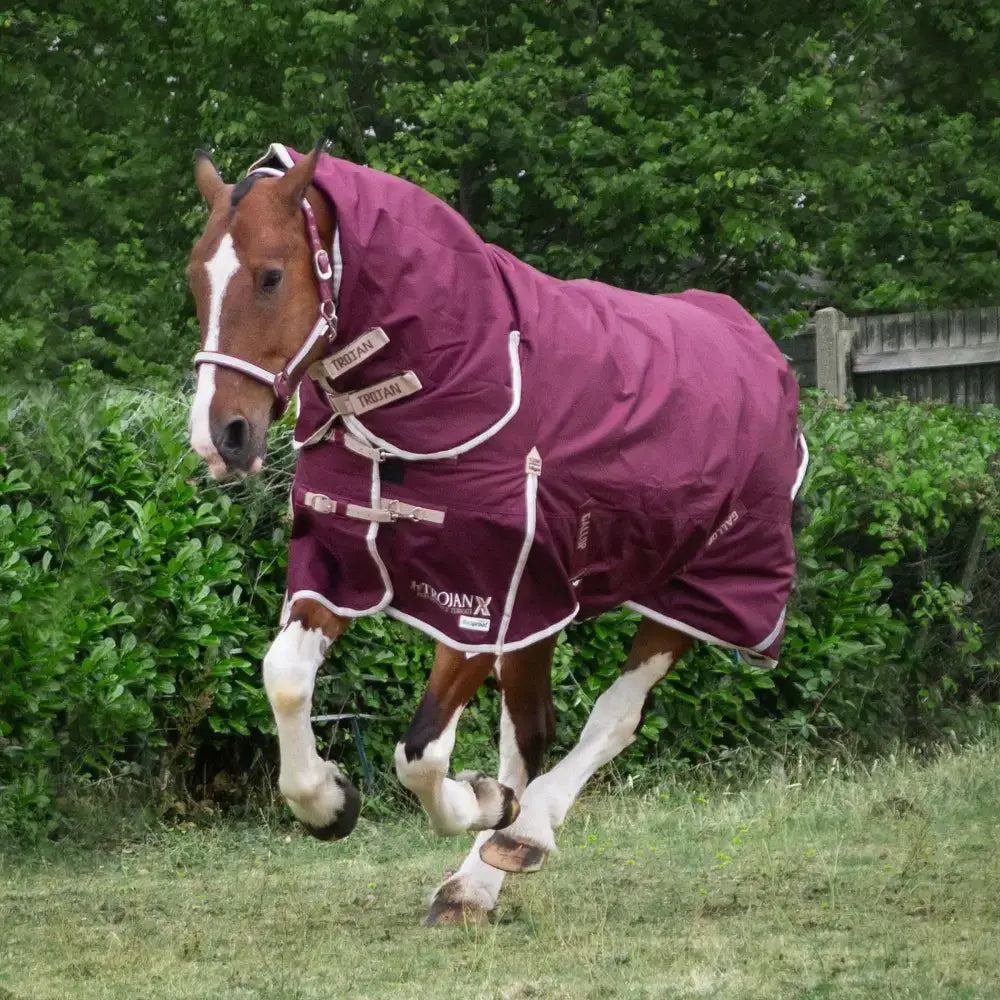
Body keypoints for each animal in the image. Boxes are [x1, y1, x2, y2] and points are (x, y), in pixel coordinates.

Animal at [186, 141, 807, 925]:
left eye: (270, 275)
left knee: (614, 717)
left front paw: (482, 801)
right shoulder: (348, 567)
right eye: (193, 279)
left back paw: (523, 834)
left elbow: (420, 754)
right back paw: (473, 885)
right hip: (548, 607)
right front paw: (329, 803)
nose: (220, 437)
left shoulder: (482, 600)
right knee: (532, 730)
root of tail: (756, 343)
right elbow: (287, 678)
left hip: (695, 592)